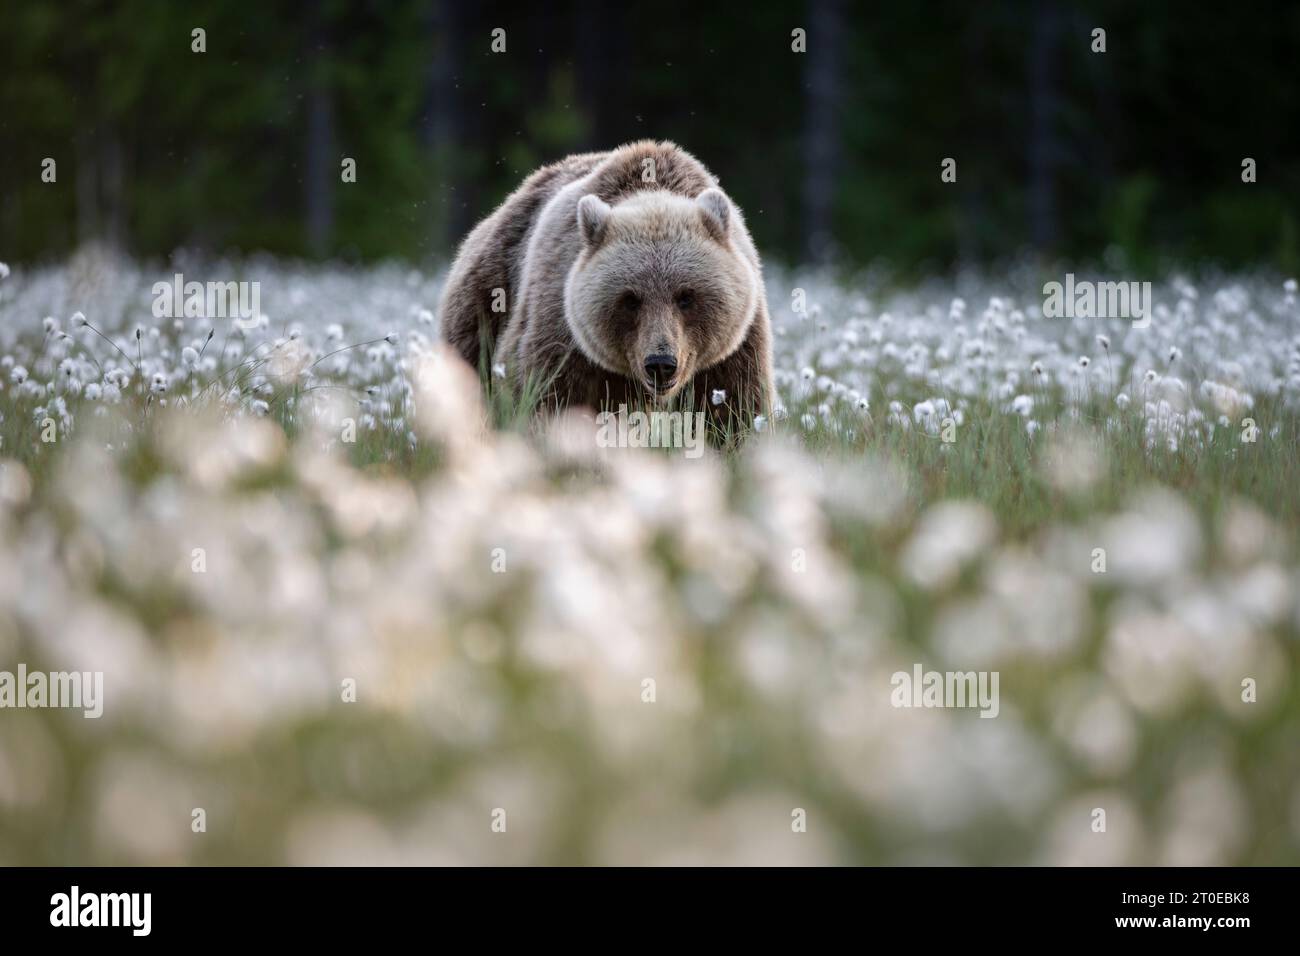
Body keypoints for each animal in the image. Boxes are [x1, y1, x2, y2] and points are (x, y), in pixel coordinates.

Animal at [441, 140, 774, 429]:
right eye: (631, 299)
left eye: (686, 296)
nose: (661, 363)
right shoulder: (564, 330)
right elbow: (546, 395)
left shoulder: (736, 344)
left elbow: (734, 409)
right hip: (486, 299)